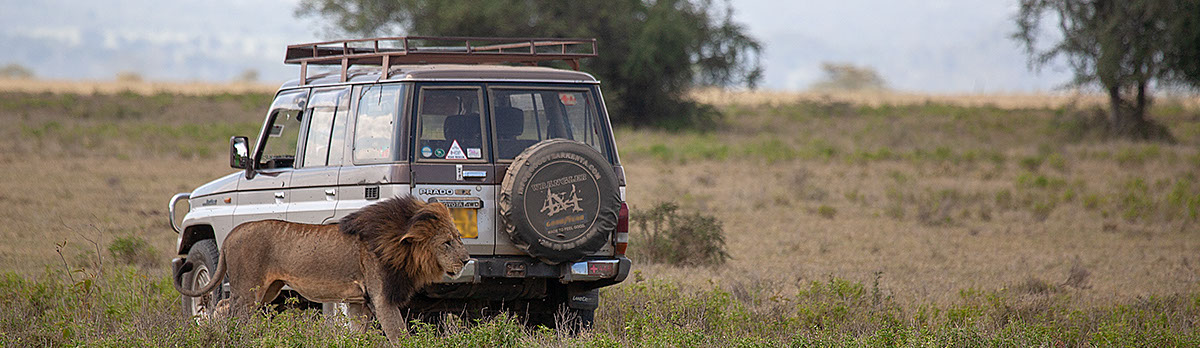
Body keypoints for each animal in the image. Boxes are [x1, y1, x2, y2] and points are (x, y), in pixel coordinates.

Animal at [175, 194, 472, 340]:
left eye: (459, 237)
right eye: (446, 243)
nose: (467, 259)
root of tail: (231, 234)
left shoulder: (358, 301)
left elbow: (358, 335)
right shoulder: (382, 298)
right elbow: (400, 335)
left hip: (266, 290)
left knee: (220, 308)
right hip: (249, 291)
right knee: (232, 315)